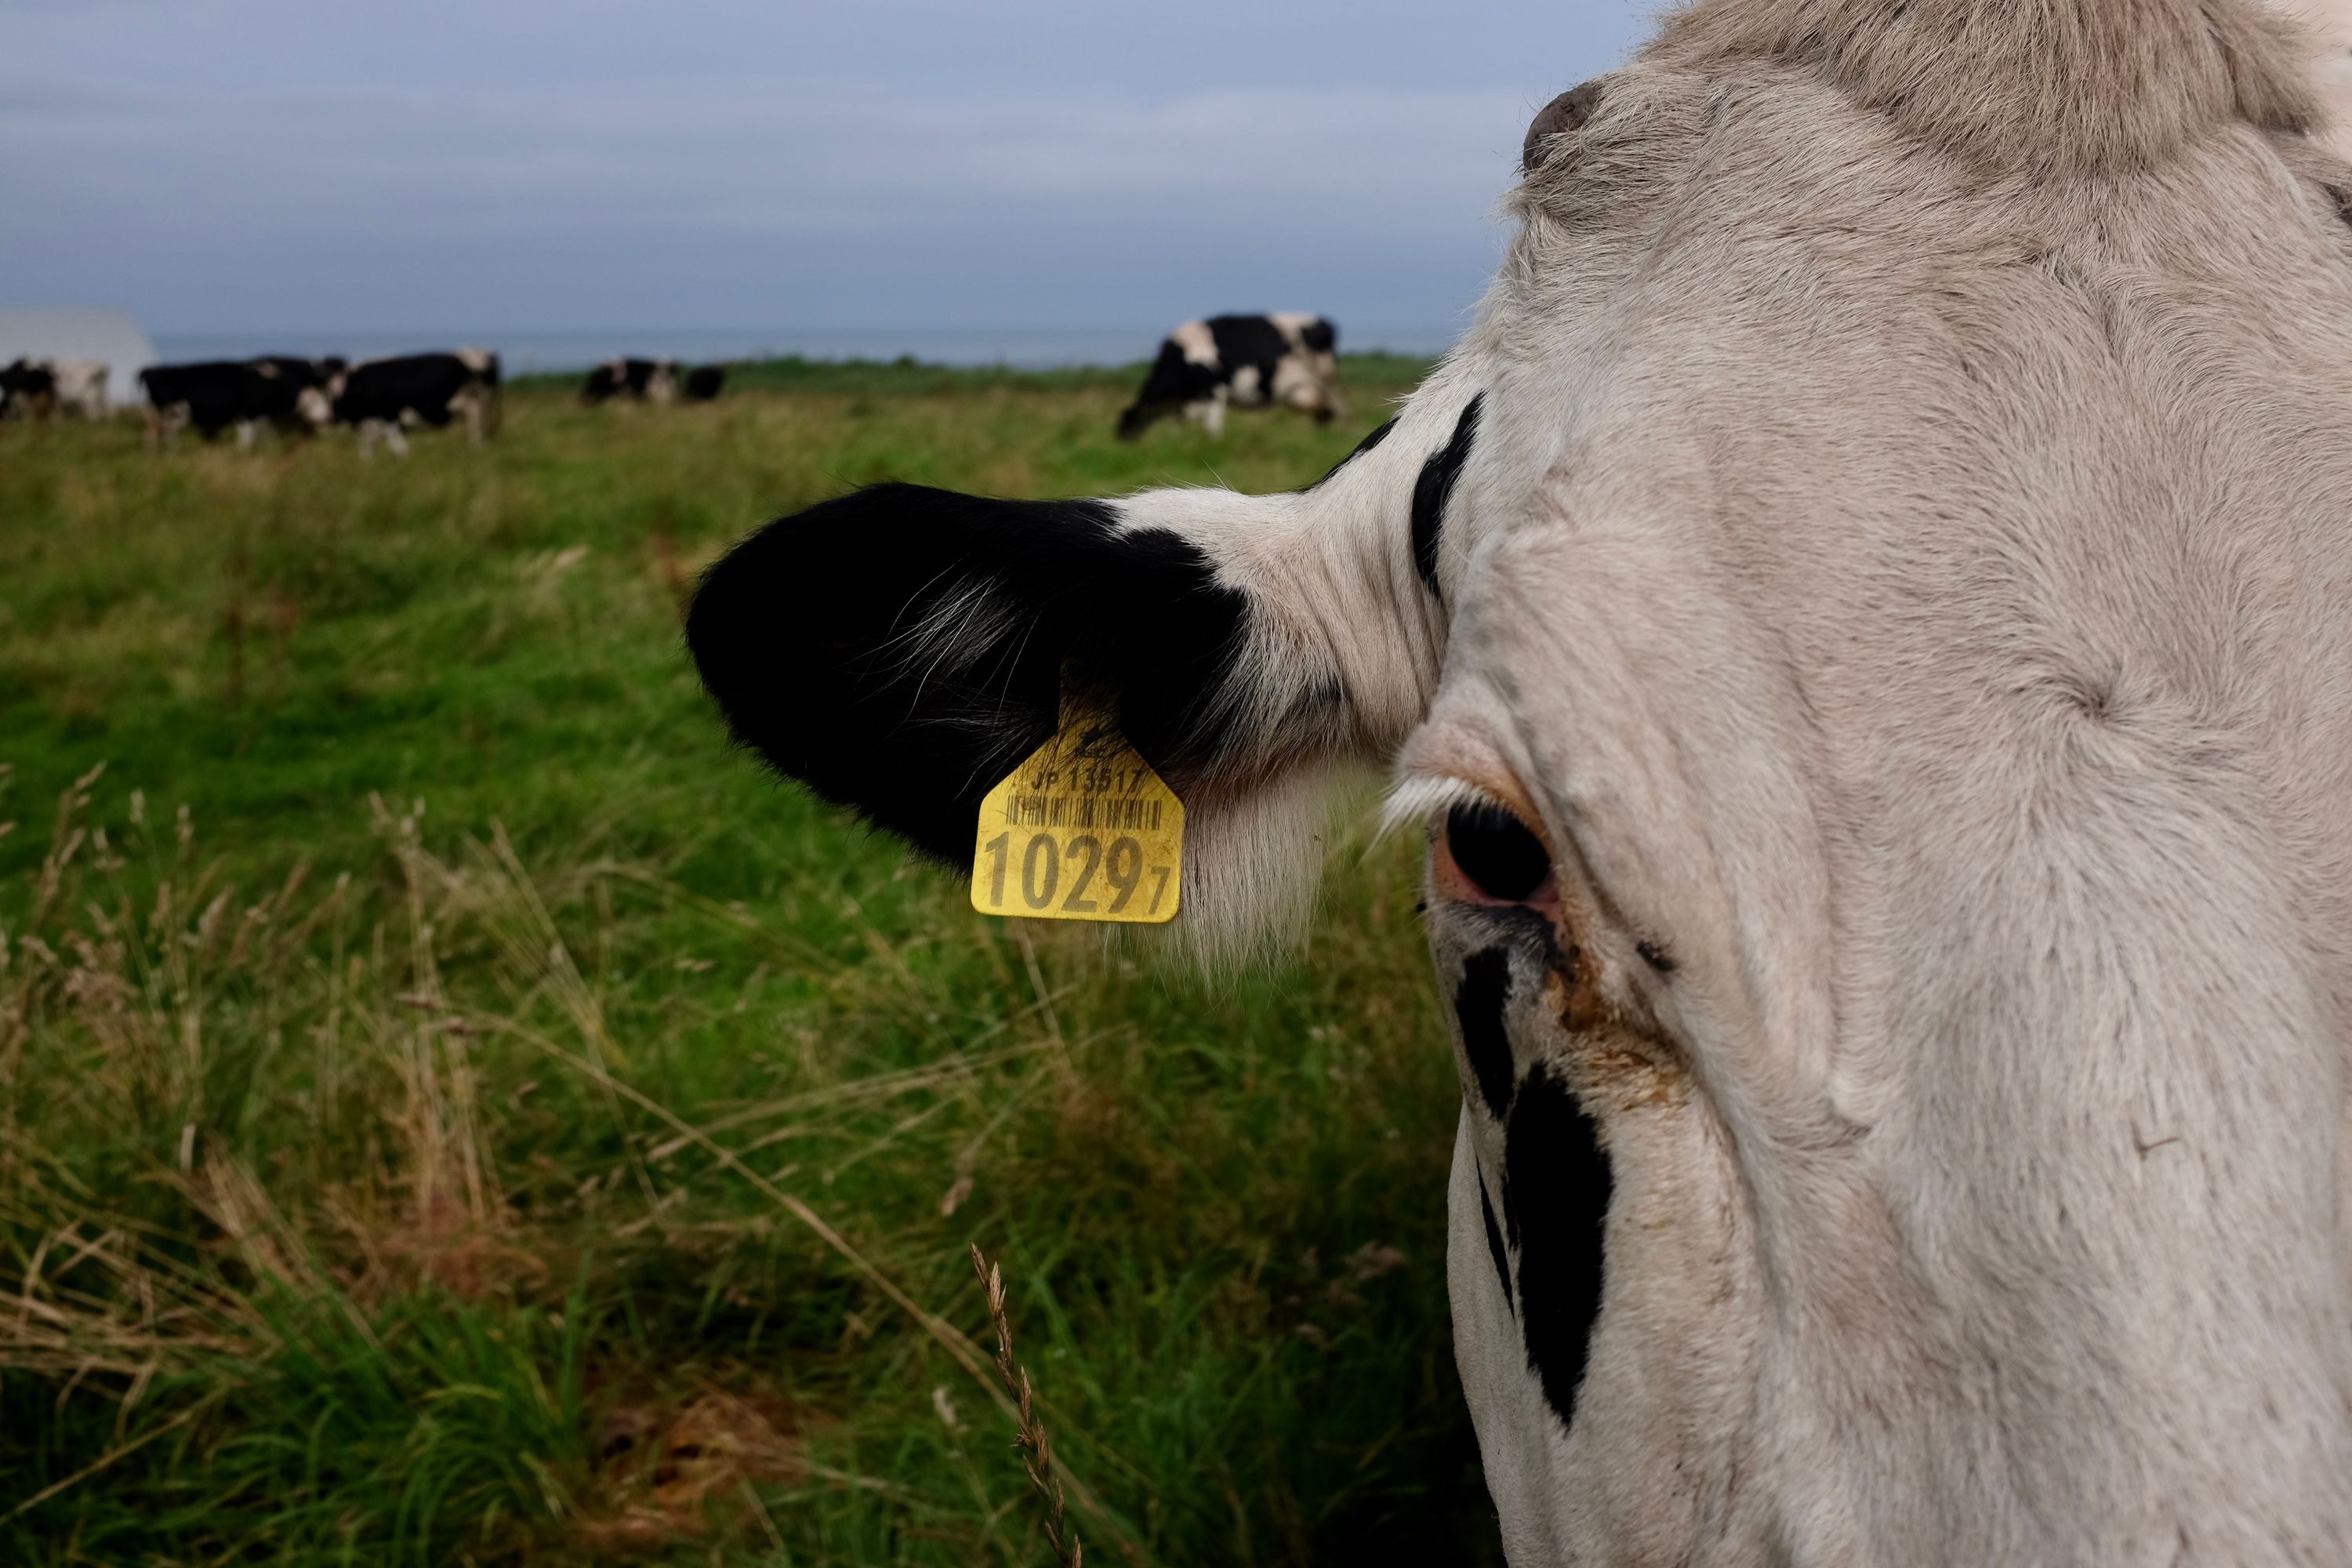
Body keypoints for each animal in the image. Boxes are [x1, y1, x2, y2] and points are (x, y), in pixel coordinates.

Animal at [325, 350, 503, 453]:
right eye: (331, 397)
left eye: (337, 399)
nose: (335, 421)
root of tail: (484, 354)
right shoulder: (375, 422)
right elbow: (368, 443)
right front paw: (368, 463)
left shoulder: (389, 414)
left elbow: (396, 441)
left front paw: (403, 457)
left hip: (473, 402)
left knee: (476, 425)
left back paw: (476, 447)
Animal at [1115, 312, 1345, 439]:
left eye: (1128, 423)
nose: (1121, 441)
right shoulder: (1185, 401)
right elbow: (1177, 424)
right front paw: (1175, 440)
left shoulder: (1216, 388)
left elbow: (1212, 423)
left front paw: (1214, 442)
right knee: (1323, 411)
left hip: (1325, 379)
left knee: (1333, 410)